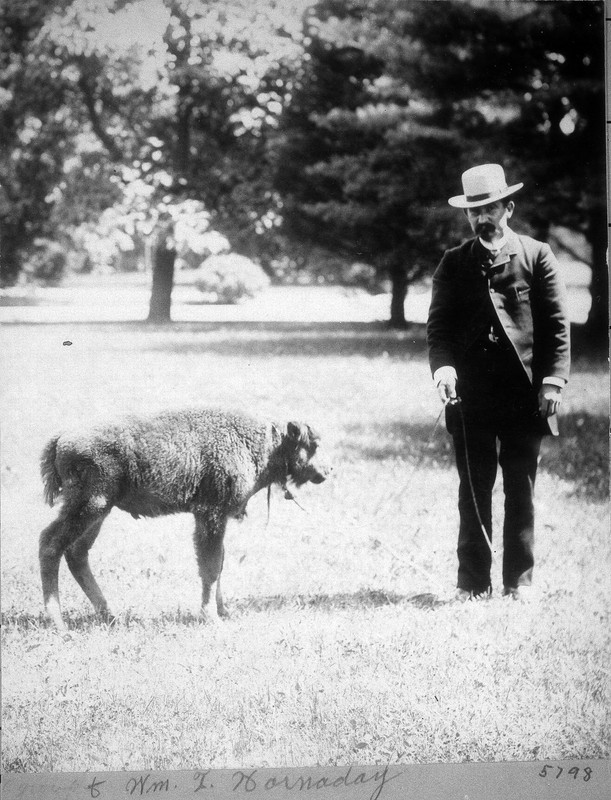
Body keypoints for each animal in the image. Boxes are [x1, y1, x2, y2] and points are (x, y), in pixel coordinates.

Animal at [38, 410, 330, 628]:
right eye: (312, 445)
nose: (328, 470)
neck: (266, 443)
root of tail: (61, 438)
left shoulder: (217, 518)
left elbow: (219, 564)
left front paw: (224, 611)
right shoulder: (210, 514)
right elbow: (210, 567)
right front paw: (210, 617)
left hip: (99, 512)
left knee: (77, 553)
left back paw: (111, 616)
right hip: (89, 506)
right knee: (50, 545)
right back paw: (60, 624)